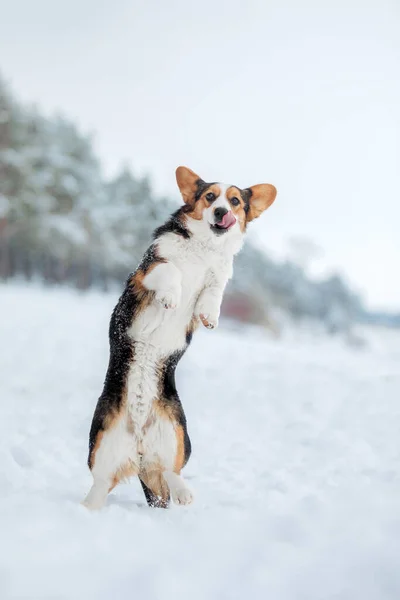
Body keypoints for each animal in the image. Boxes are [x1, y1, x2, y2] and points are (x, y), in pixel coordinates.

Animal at [83, 166, 278, 508]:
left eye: (235, 201)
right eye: (210, 196)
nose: (221, 212)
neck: (204, 248)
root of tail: (139, 450)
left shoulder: (217, 278)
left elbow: (214, 292)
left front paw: (210, 316)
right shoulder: (149, 270)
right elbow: (171, 272)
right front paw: (171, 297)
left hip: (178, 433)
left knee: (172, 472)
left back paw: (184, 492)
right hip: (102, 442)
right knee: (101, 482)